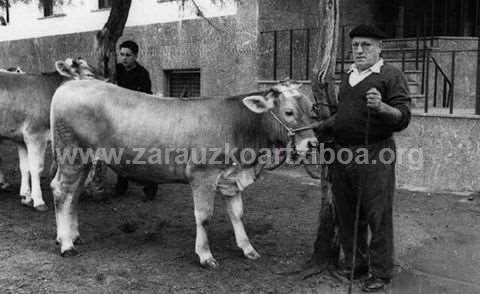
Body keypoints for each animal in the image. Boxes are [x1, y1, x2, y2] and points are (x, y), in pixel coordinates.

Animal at [50, 79, 318, 268]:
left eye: (311, 109)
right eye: (289, 112)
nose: (312, 144)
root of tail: (68, 85)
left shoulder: (231, 177)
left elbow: (238, 214)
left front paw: (247, 248)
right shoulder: (202, 175)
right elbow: (204, 216)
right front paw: (205, 255)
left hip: (83, 160)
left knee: (72, 193)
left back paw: (73, 235)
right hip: (72, 154)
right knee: (62, 192)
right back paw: (66, 244)